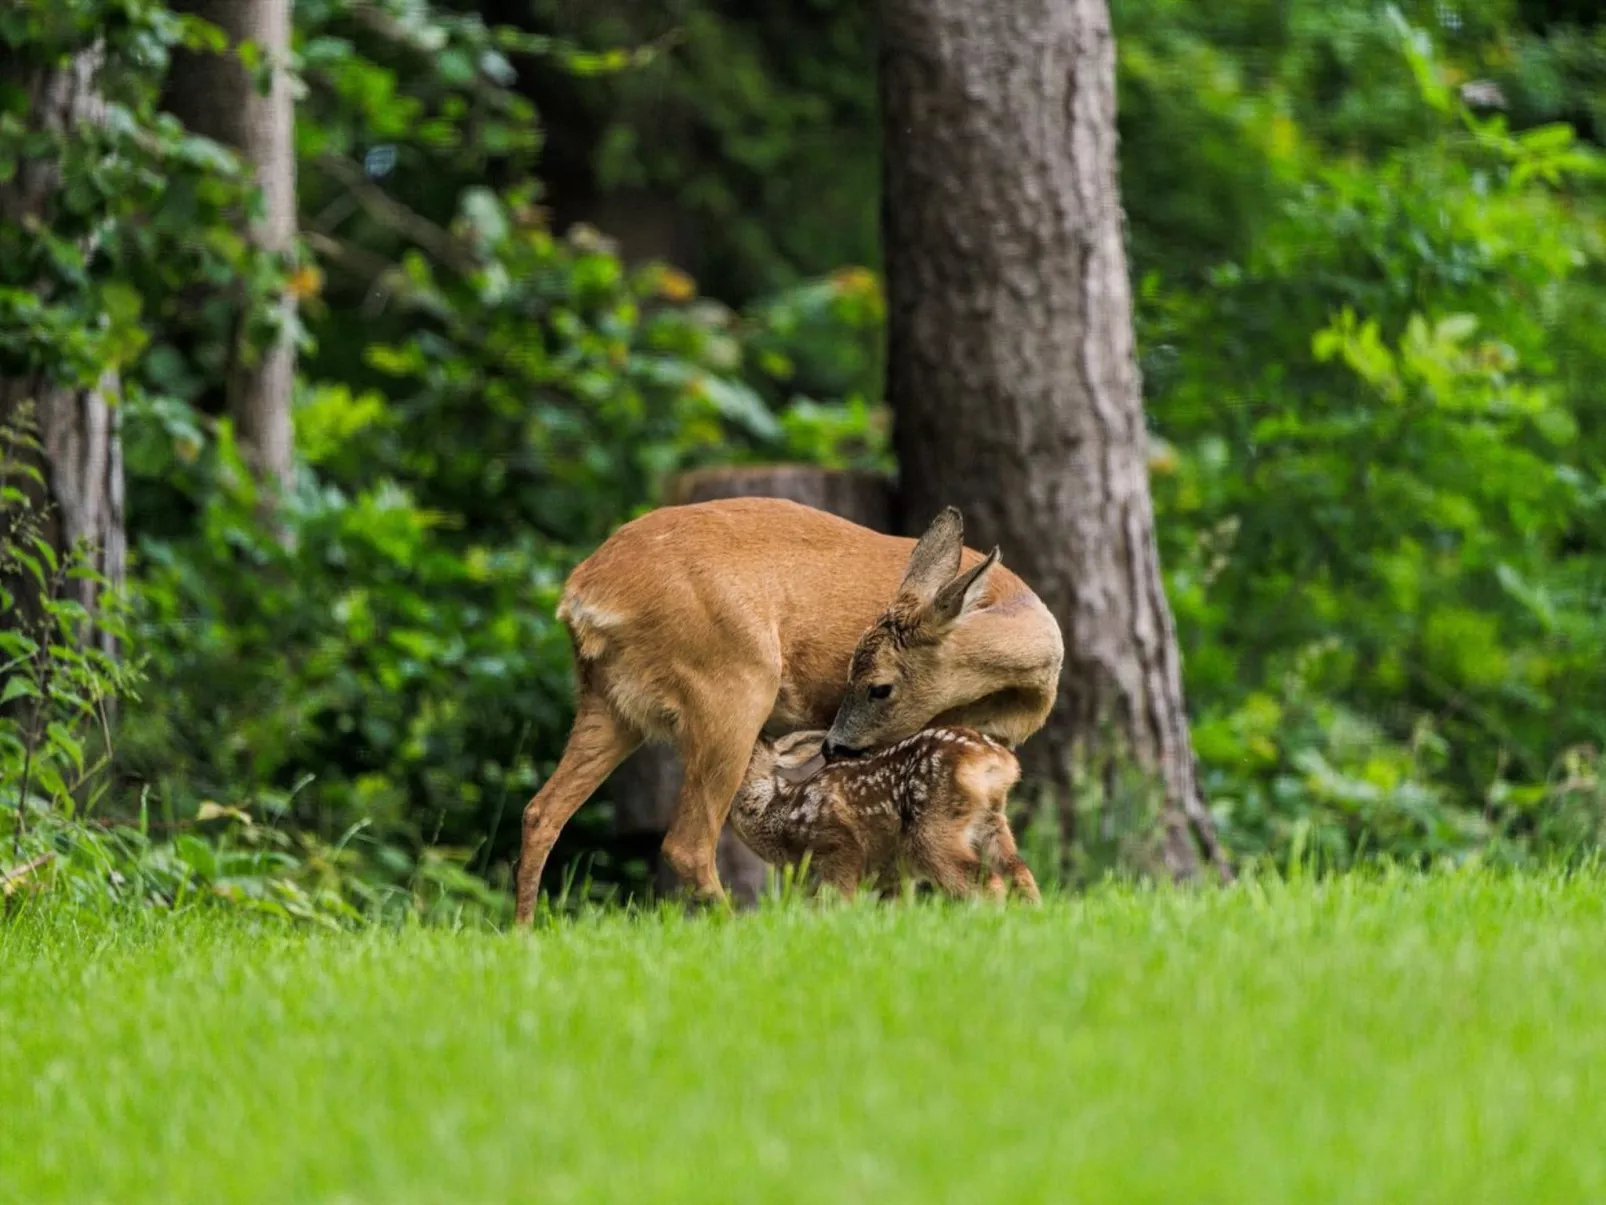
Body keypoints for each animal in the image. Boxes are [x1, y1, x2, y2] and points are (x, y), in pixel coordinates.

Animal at [517, 501, 1066, 925]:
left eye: (878, 687)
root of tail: (582, 595)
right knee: (687, 842)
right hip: (734, 685)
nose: (833, 745)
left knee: (541, 811)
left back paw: (525, 933)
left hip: (609, 703)